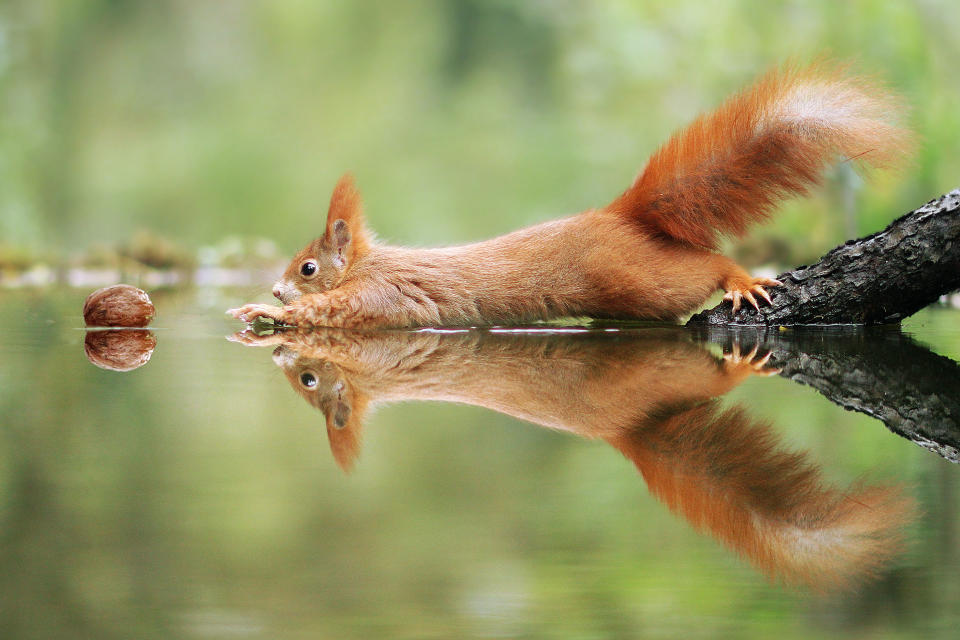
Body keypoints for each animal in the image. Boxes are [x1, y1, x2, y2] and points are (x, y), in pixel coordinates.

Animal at [227, 63, 908, 330]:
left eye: (307, 267)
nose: (275, 289)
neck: (372, 265)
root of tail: (617, 215)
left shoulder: (378, 297)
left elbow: (333, 315)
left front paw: (265, 313)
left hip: (637, 279)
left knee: (704, 268)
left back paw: (740, 279)